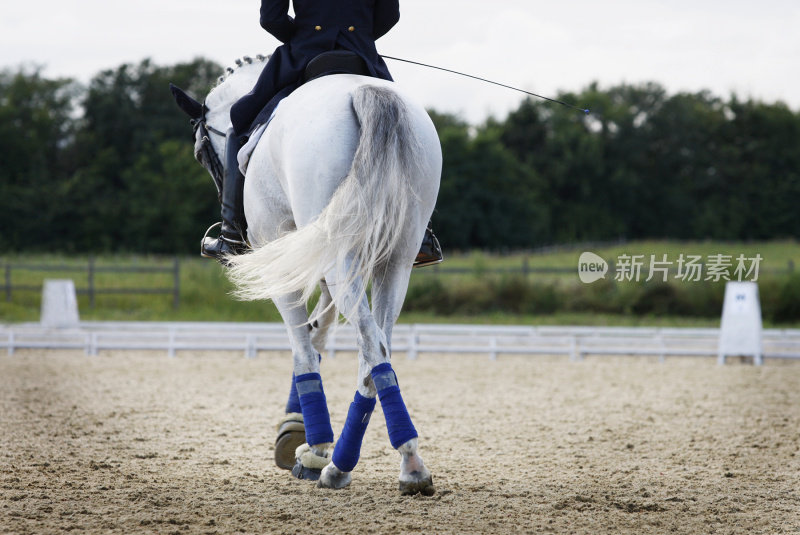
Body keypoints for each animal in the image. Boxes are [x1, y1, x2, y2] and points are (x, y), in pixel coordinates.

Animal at [170, 56, 444, 496]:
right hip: (395, 261)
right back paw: (373, 465)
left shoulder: (286, 262)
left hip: (339, 251)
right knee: (375, 350)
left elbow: (302, 347)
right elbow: (319, 331)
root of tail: (366, 93)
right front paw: (300, 433)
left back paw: (374, 464)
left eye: (200, 153)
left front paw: (309, 444)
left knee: (371, 345)